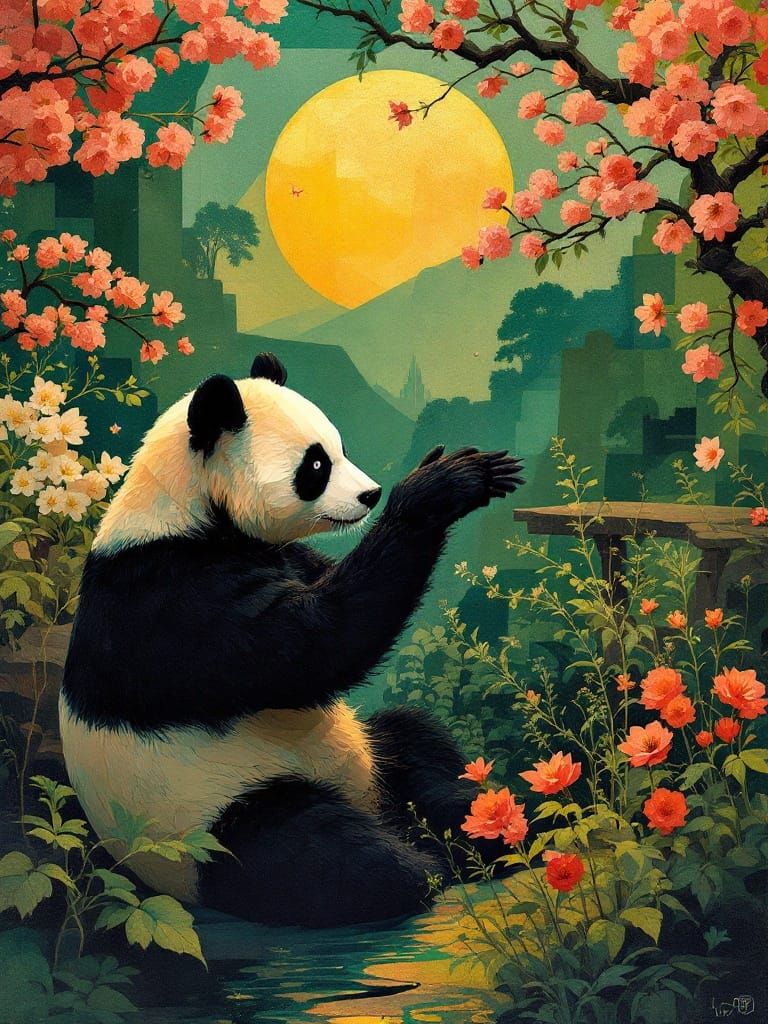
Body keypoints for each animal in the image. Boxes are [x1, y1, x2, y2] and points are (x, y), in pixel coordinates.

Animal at [60, 352, 524, 928]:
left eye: (341, 448)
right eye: (316, 466)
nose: (371, 495)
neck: (183, 510)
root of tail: (369, 802)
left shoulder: (275, 558)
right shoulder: (172, 603)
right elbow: (313, 647)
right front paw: (437, 490)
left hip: (367, 753)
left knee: (416, 742)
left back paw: (481, 822)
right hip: (213, 820)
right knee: (318, 853)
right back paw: (424, 861)